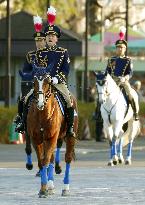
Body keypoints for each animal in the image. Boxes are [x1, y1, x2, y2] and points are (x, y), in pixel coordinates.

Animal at [26, 67, 77, 197]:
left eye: (48, 82)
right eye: (33, 82)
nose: (40, 103)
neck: (42, 114)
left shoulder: (52, 137)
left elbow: (45, 161)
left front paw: (43, 190)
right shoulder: (36, 139)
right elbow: (42, 161)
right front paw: (44, 188)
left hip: (70, 137)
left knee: (68, 158)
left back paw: (65, 187)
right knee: (51, 159)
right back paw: (50, 186)